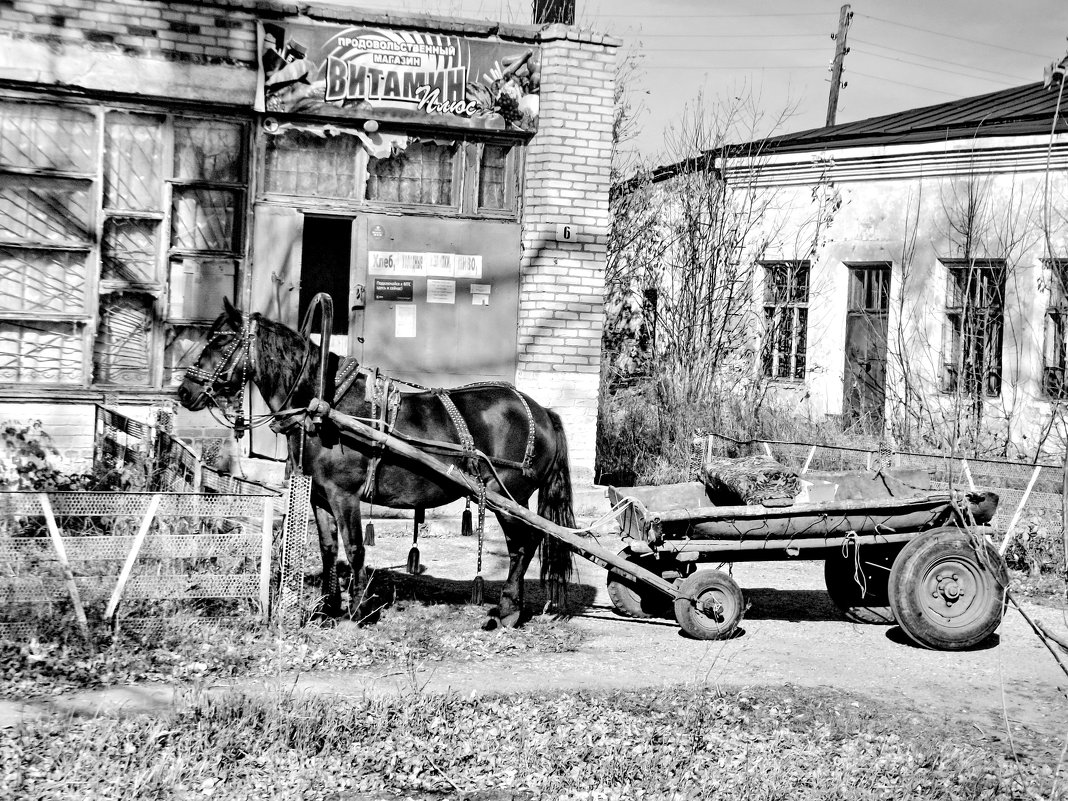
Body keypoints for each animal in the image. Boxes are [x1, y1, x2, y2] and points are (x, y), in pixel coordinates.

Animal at [175, 299, 576, 627]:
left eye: (222, 342)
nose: (184, 391)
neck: (324, 405)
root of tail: (542, 412)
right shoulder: (320, 497)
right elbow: (329, 549)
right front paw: (328, 608)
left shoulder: (344, 495)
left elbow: (355, 548)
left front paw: (357, 610)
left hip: (508, 496)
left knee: (524, 544)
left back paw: (508, 610)